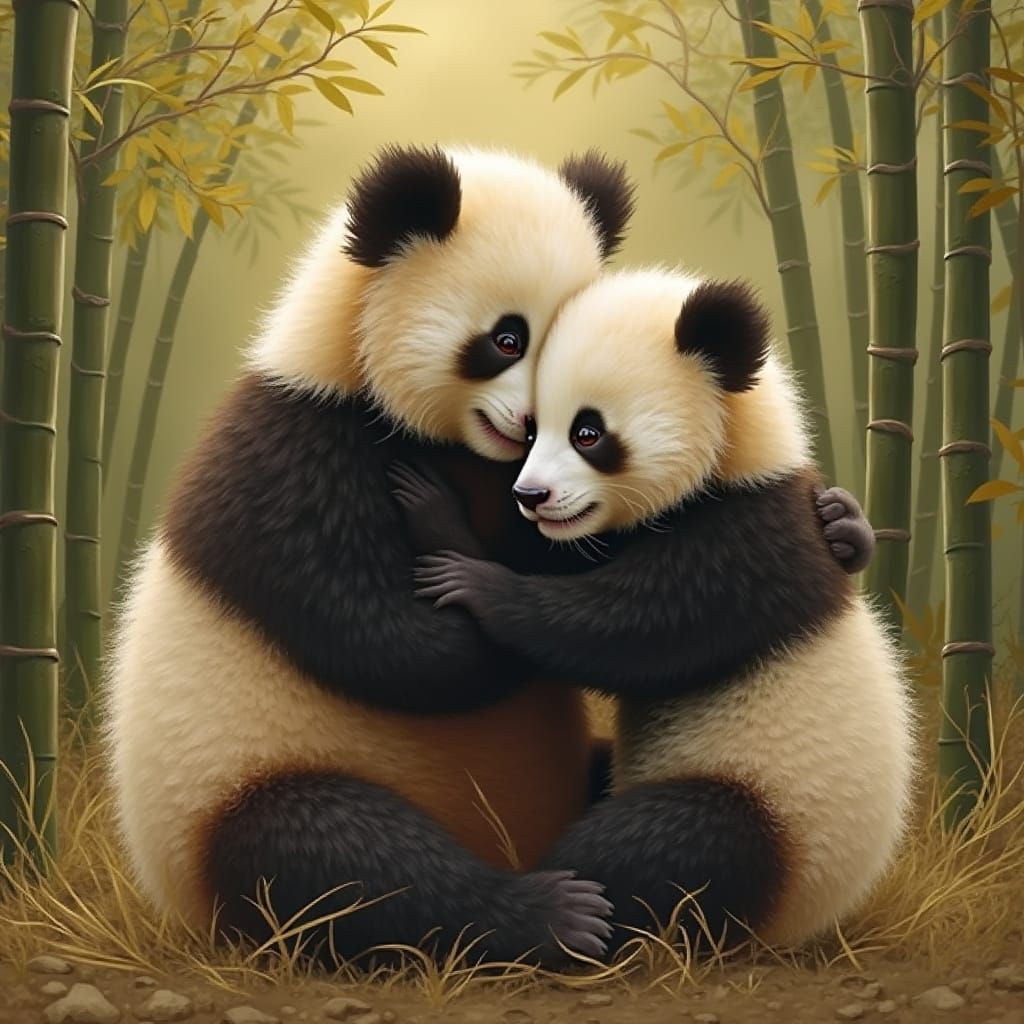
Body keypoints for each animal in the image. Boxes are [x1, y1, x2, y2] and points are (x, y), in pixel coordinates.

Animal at [105, 144, 640, 968]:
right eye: (509, 340)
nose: (531, 432)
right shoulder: (294, 454)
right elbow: (381, 639)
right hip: (232, 796)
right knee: (334, 860)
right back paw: (549, 915)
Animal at [405, 267, 914, 955]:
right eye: (532, 430)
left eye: (588, 433)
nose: (530, 496)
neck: (737, 456)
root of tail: (803, 926)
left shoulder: (747, 545)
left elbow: (631, 630)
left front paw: (461, 559)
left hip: (774, 813)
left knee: (671, 841)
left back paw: (560, 908)